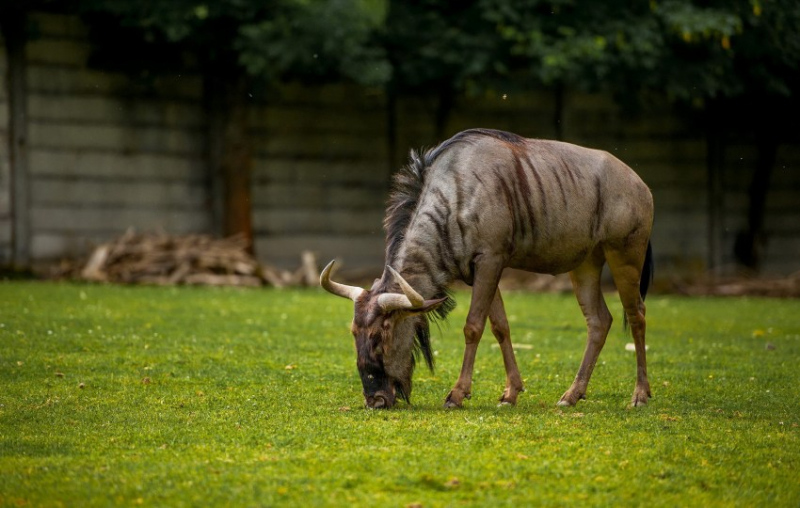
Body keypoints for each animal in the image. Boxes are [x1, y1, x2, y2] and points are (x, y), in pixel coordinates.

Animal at [322, 128, 652, 408]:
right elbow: (500, 327)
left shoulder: (491, 260)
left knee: (636, 315)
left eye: (380, 336)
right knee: (599, 320)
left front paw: (457, 394)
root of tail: (639, 183)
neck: (457, 194)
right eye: (354, 332)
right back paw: (572, 395)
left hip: (625, 255)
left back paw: (639, 395)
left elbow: (473, 326)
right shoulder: (478, 271)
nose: (375, 400)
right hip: (585, 265)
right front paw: (511, 393)